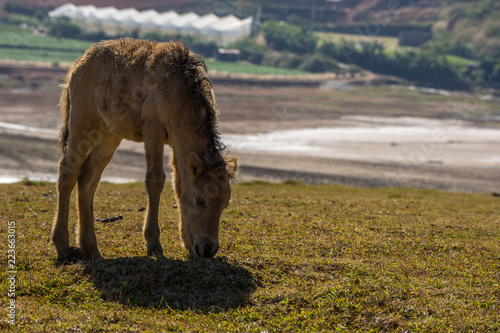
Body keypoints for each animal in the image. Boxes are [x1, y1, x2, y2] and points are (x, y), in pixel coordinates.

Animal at [50, 38, 238, 262]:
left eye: (225, 204)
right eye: (200, 201)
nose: (208, 249)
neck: (178, 90)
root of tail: (76, 66)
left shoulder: (177, 142)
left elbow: (179, 184)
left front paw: (186, 242)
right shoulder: (153, 129)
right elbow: (155, 180)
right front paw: (154, 244)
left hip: (110, 135)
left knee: (87, 177)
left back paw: (92, 250)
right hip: (83, 123)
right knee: (67, 171)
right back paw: (62, 246)